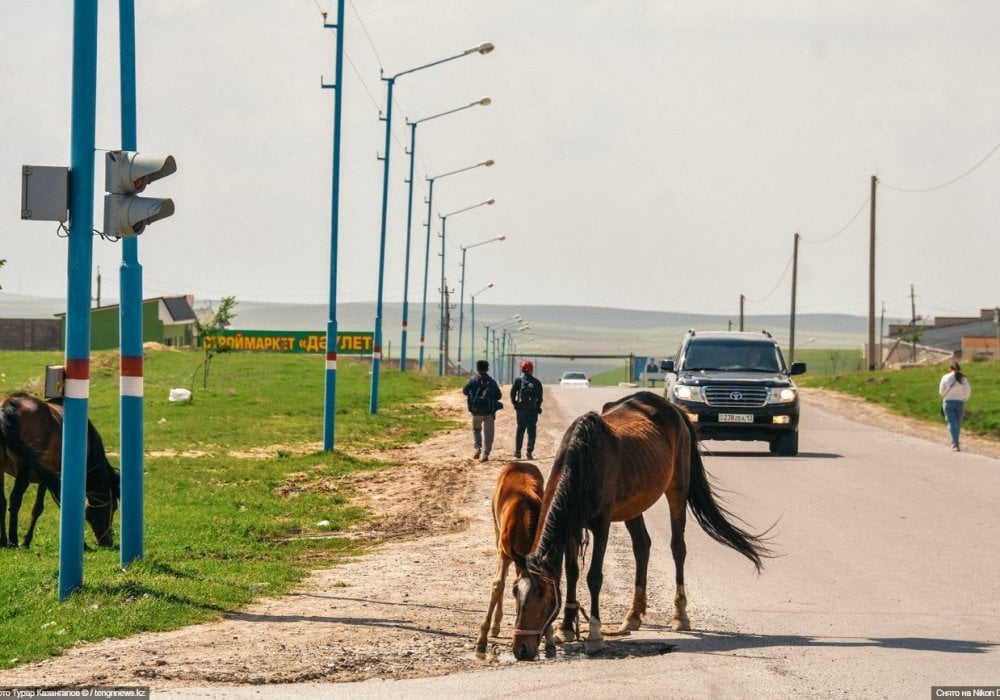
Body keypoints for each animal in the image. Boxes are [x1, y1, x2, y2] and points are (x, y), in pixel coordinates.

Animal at [0, 394, 120, 548]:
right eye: (113, 506)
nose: (107, 542)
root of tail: (8, 406)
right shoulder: (49, 477)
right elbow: (42, 507)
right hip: (24, 470)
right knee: (15, 500)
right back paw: (13, 540)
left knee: (2, 501)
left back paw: (3, 541)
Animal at [472, 464, 552, 656]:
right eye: (515, 594)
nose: (523, 649)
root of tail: (520, 464)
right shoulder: (504, 552)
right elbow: (498, 585)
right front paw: (482, 638)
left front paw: (551, 639)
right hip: (497, 533)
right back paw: (495, 626)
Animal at [512, 392, 768, 660]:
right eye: (515, 591)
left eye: (540, 594)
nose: (521, 649)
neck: (582, 462)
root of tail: (674, 409)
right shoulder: (571, 526)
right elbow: (571, 573)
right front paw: (566, 629)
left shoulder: (601, 526)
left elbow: (594, 577)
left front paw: (594, 635)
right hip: (634, 506)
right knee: (642, 547)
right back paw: (633, 615)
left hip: (677, 491)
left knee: (678, 548)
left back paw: (680, 615)